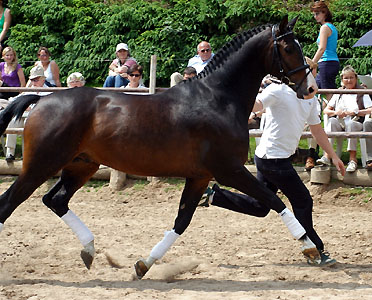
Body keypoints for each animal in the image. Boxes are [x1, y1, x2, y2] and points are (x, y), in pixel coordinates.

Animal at [0, 16, 318, 278]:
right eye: (289, 47)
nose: (310, 88)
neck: (217, 99)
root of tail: (41, 100)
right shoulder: (230, 170)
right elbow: (275, 200)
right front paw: (309, 247)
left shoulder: (200, 176)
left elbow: (182, 221)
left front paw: (143, 265)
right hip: (41, 166)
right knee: (10, 203)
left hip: (80, 166)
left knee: (54, 200)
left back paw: (89, 250)